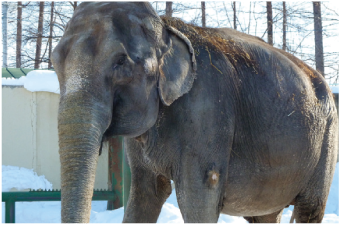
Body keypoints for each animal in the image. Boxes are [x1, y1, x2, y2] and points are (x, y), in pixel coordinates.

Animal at [50, 1, 338, 223]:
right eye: (54, 62)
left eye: (121, 62)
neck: (165, 26)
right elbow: (146, 193)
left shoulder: (207, 109)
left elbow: (198, 196)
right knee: (265, 215)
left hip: (326, 141)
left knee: (309, 208)